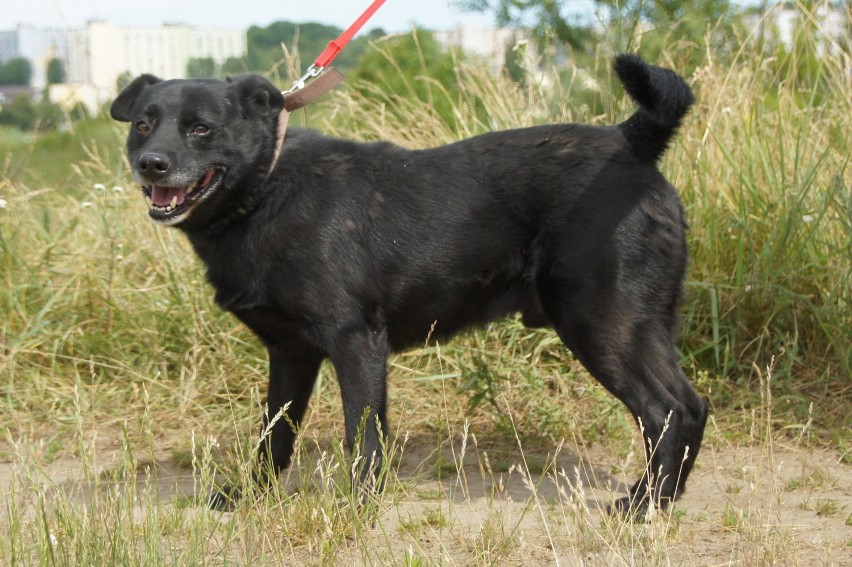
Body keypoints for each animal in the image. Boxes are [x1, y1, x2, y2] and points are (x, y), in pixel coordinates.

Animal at [115, 54, 712, 516]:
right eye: (143, 124)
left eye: (200, 127)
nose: (152, 164)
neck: (265, 190)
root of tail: (631, 141)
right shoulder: (290, 354)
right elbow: (274, 437)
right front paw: (250, 498)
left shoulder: (355, 341)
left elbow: (362, 436)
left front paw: (358, 508)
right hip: (640, 326)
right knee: (691, 407)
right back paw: (665, 500)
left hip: (602, 324)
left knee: (666, 412)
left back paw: (642, 506)